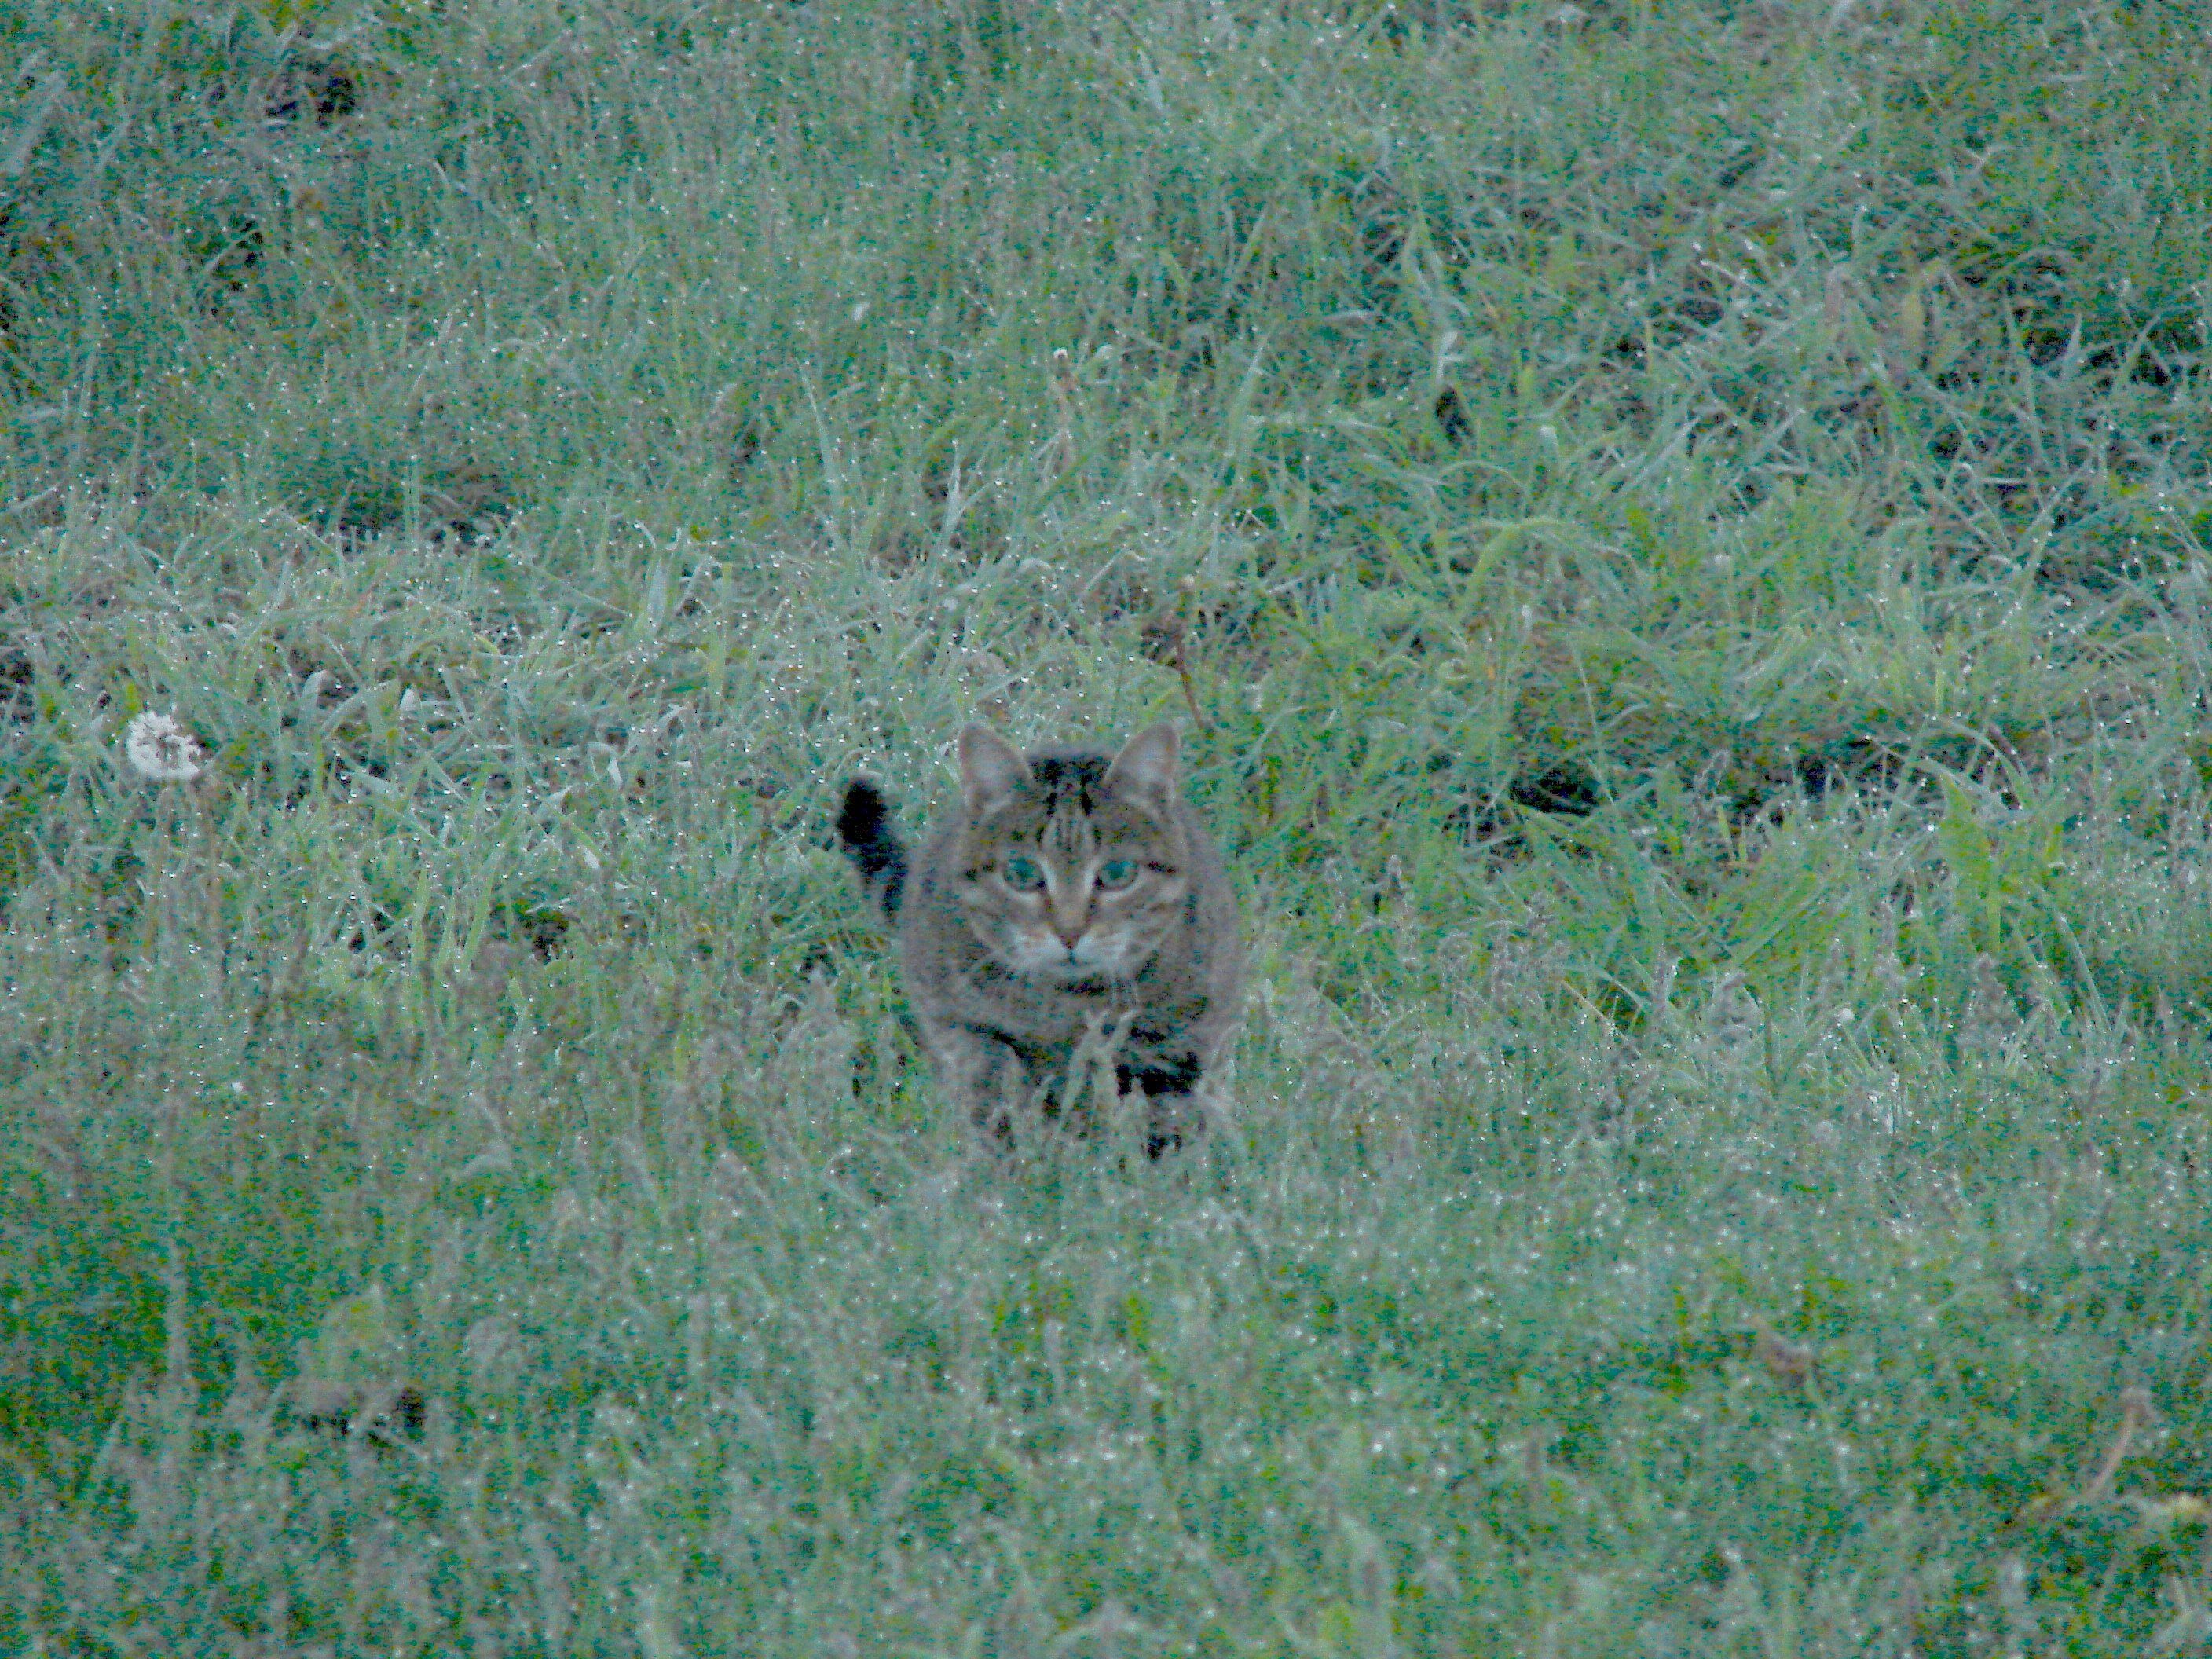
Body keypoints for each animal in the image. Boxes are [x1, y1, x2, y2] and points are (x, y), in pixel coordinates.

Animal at [838, 722, 1242, 1155]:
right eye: (1021, 873)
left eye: (1118, 873)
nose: (1069, 931)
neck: (1071, 1004)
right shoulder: (964, 1025)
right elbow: (994, 1095)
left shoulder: (1177, 1046)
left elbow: (1163, 1123)